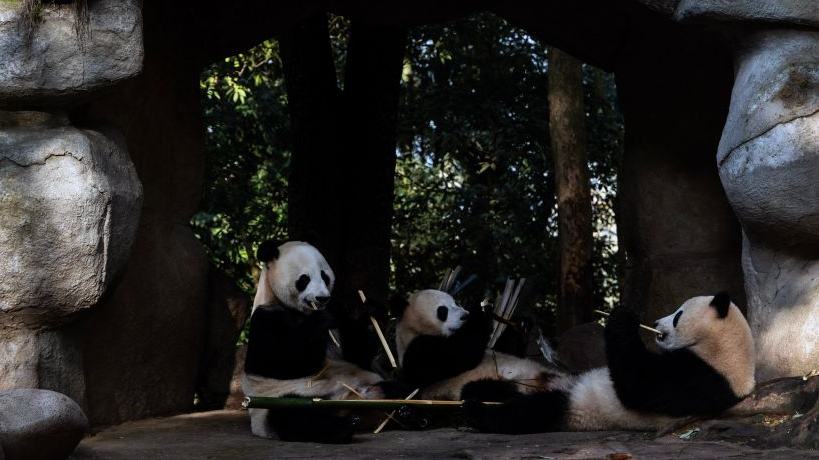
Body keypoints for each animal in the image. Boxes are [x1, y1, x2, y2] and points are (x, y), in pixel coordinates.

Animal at [242, 240, 388, 443]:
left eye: (324, 276)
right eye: (304, 279)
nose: (322, 298)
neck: (302, 312)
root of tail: (347, 402)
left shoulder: (338, 310)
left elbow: (357, 354)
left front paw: (371, 313)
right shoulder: (266, 318)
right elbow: (278, 363)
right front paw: (321, 321)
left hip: (367, 382)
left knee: (399, 387)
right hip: (275, 402)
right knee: (291, 415)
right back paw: (344, 427)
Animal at [395, 289, 559, 401]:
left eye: (456, 303)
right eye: (442, 310)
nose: (464, 316)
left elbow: (508, 349)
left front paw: (522, 324)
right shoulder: (418, 351)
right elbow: (459, 355)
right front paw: (479, 311)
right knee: (482, 390)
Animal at [463, 292, 756, 433]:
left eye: (678, 315)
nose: (657, 322)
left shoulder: (705, 379)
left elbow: (640, 387)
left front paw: (622, 316)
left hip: (575, 407)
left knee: (530, 411)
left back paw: (476, 409)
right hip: (560, 380)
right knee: (510, 390)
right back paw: (475, 391)